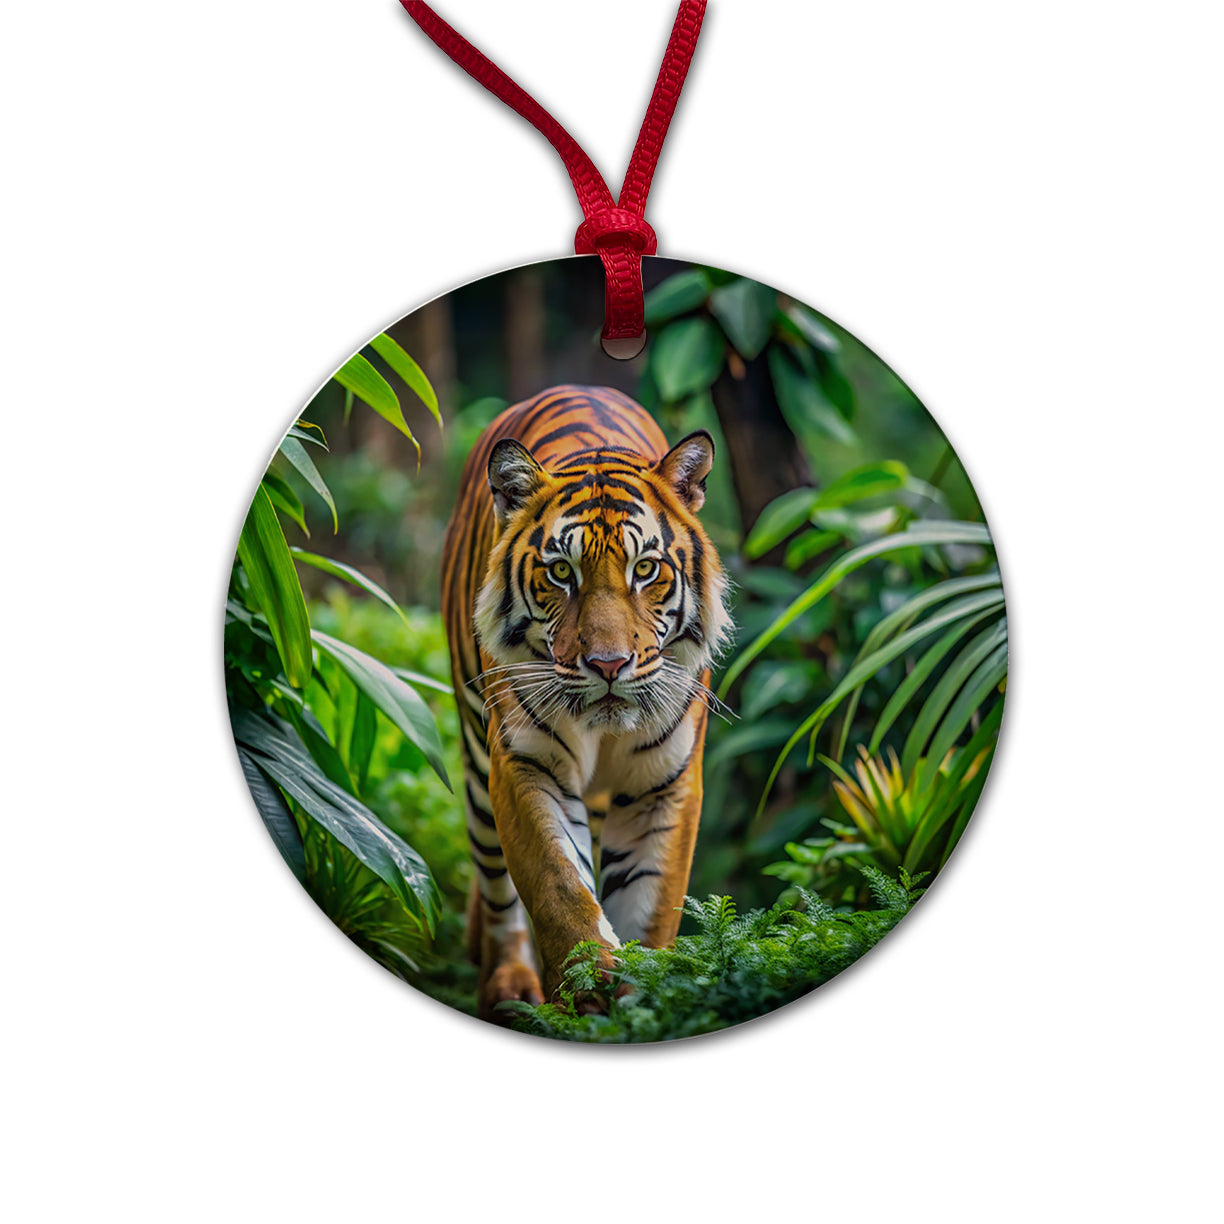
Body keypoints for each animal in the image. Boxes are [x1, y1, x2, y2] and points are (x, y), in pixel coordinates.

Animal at [441, 384, 732, 1021]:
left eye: (645, 569)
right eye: (559, 572)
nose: (608, 665)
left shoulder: (663, 784)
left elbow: (649, 907)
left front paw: (638, 1008)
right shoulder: (525, 764)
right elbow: (559, 887)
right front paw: (587, 992)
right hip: (476, 765)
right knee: (497, 889)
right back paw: (509, 983)